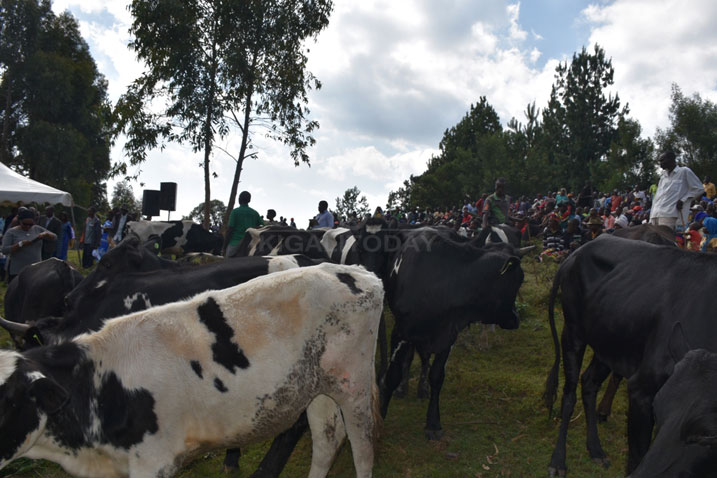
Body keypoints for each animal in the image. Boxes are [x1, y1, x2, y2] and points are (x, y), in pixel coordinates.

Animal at [0, 264, 384, 476]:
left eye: (7, 401)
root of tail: (355, 271)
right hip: (318, 387)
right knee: (327, 439)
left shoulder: (154, 462)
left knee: (363, 448)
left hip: (353, 385)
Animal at [378, 228, 524, 440]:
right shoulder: (401, 331)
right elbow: (392, 375)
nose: (516, 319)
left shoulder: (448, 336)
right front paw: (380, 416)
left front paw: (433, 423)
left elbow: (437, 376)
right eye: (518, 280)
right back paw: (403, 388)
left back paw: (421, 388)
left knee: (423, 360)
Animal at [544, 233, 716, 476]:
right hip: (573, 332)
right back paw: (558, 461)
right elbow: (637, 456)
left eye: (709, 434)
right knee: (569, 394)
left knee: (589, 382)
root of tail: (577, 251)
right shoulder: (642, 389)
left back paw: (595, 449)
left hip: (610, 343)